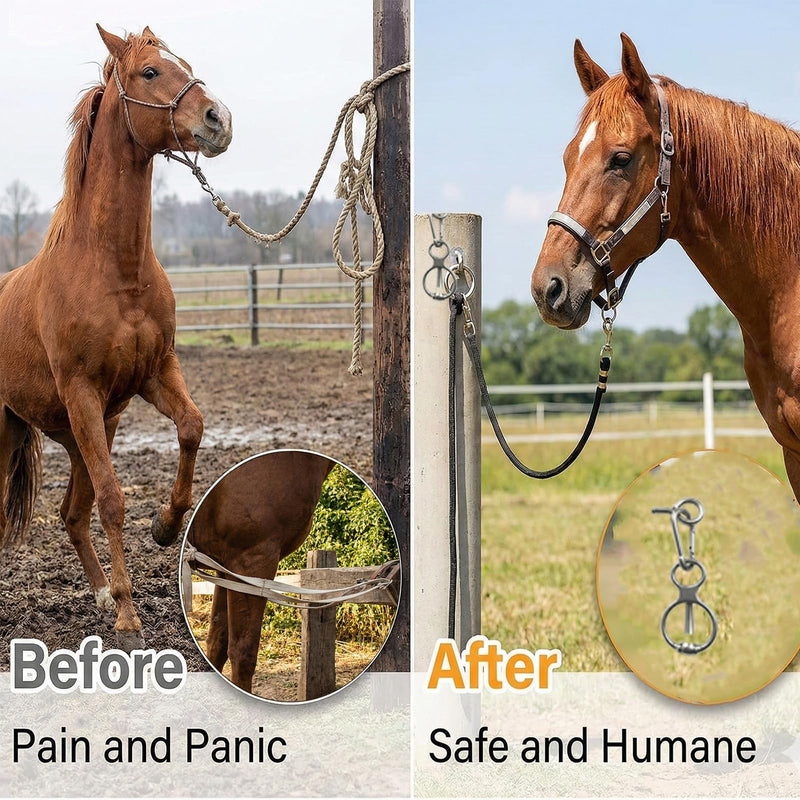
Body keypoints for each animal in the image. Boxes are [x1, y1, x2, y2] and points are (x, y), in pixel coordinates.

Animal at [0, 26, 232, 651]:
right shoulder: (83, 392)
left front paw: (167, 526)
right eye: (150, 72)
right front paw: (130, 616)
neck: (113, 270)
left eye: (185, 64)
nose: (218, 118)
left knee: (70, 515)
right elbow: (112, 498)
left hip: (83, 431)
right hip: (29, 430)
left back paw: (103, 591)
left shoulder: (152, 375)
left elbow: (192, 427)